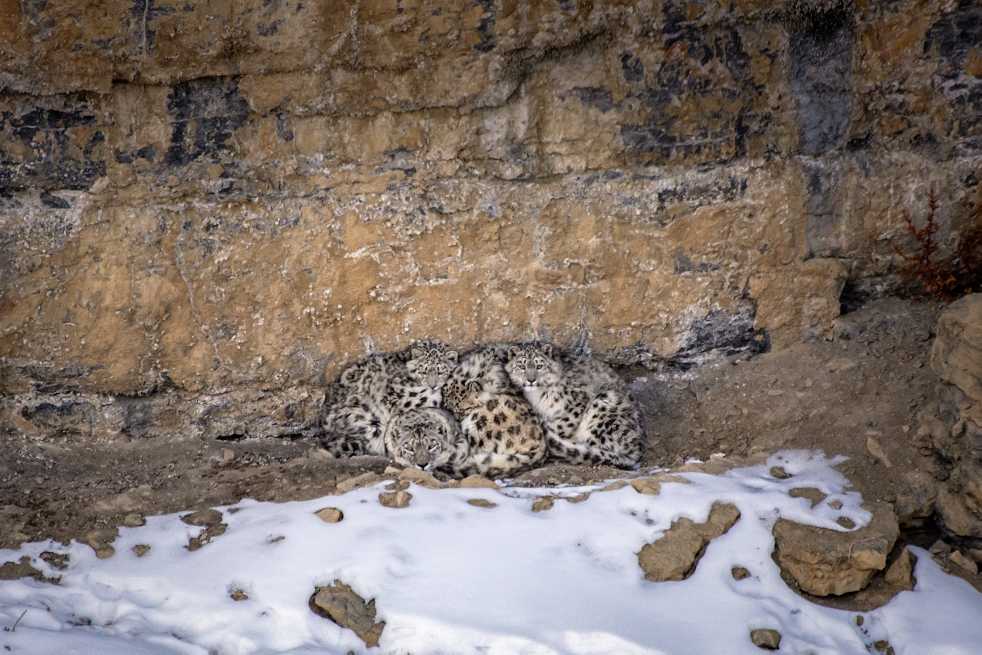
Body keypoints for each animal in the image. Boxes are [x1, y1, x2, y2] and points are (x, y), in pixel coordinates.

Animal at [503, 341, 643, 469]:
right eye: (521, 365)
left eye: (539, 366)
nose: (531, 380)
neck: (538, 396)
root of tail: (637, 451)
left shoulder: (578, 401)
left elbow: (561, 425)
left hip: (601, 409)